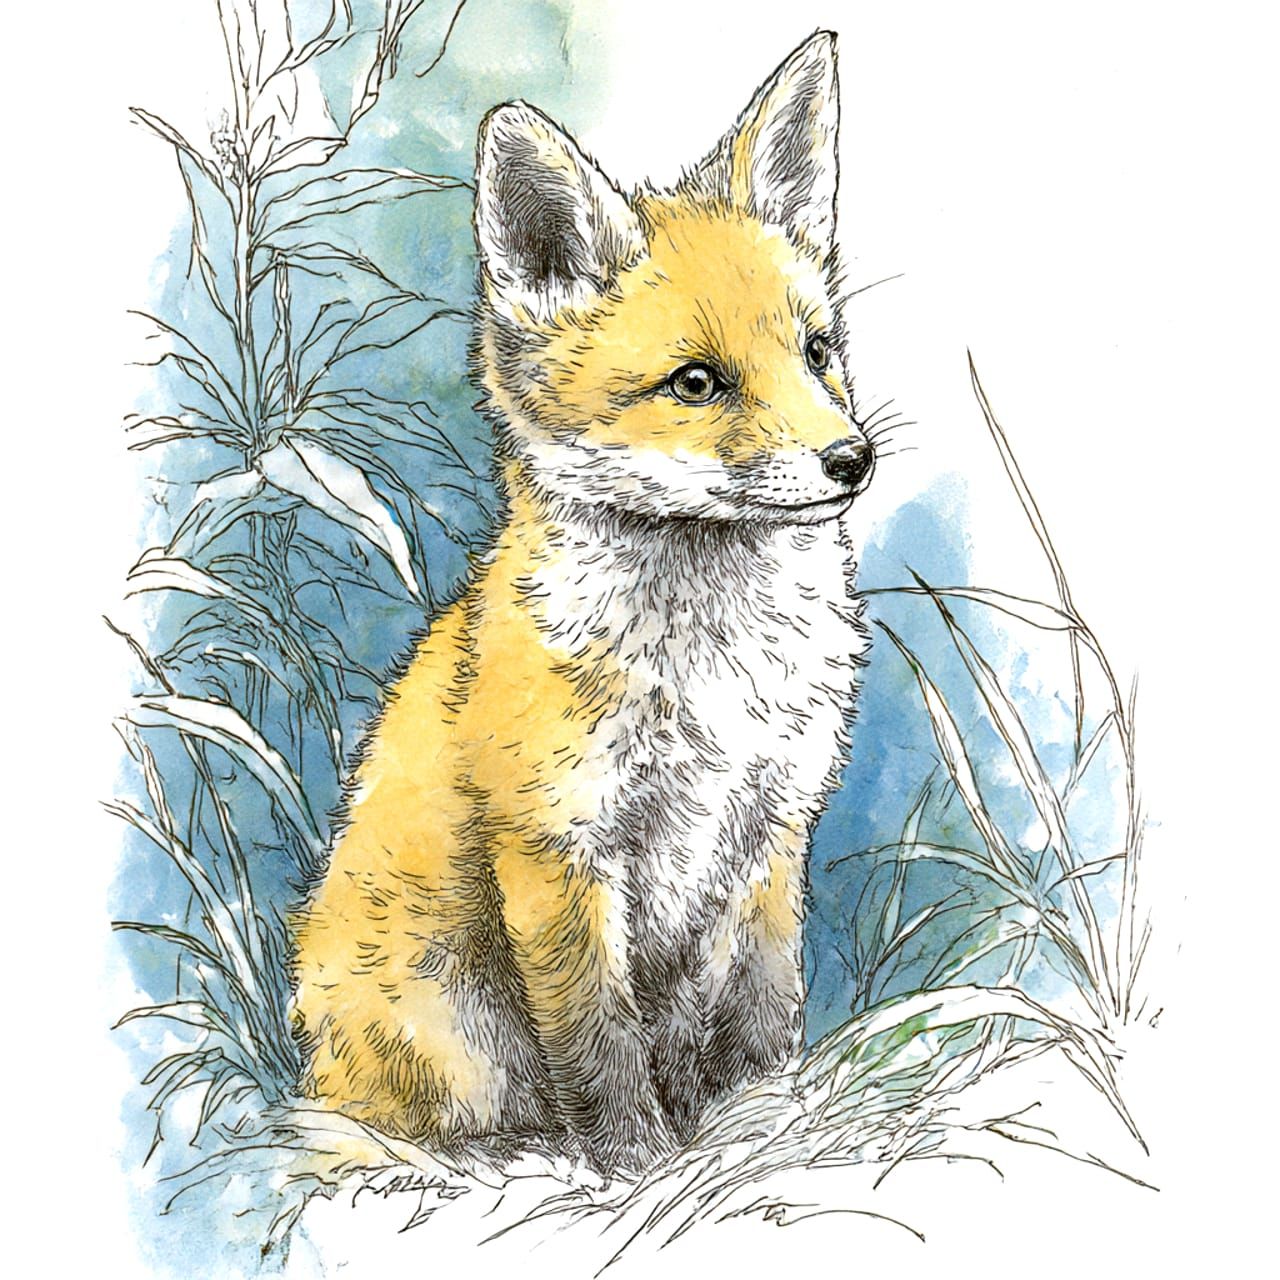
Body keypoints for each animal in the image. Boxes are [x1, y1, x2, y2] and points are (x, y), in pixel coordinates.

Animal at [290, 29, 875, 1175]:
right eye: (695, 383)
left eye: (817, 352)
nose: (851, 460)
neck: (719, 681)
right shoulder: (559, 846)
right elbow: (599, 1045)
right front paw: (642, 1170)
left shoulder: (773, 826)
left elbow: (763, 1010)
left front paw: (765, 1120)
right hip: (451, 1035)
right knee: (433, 1125)